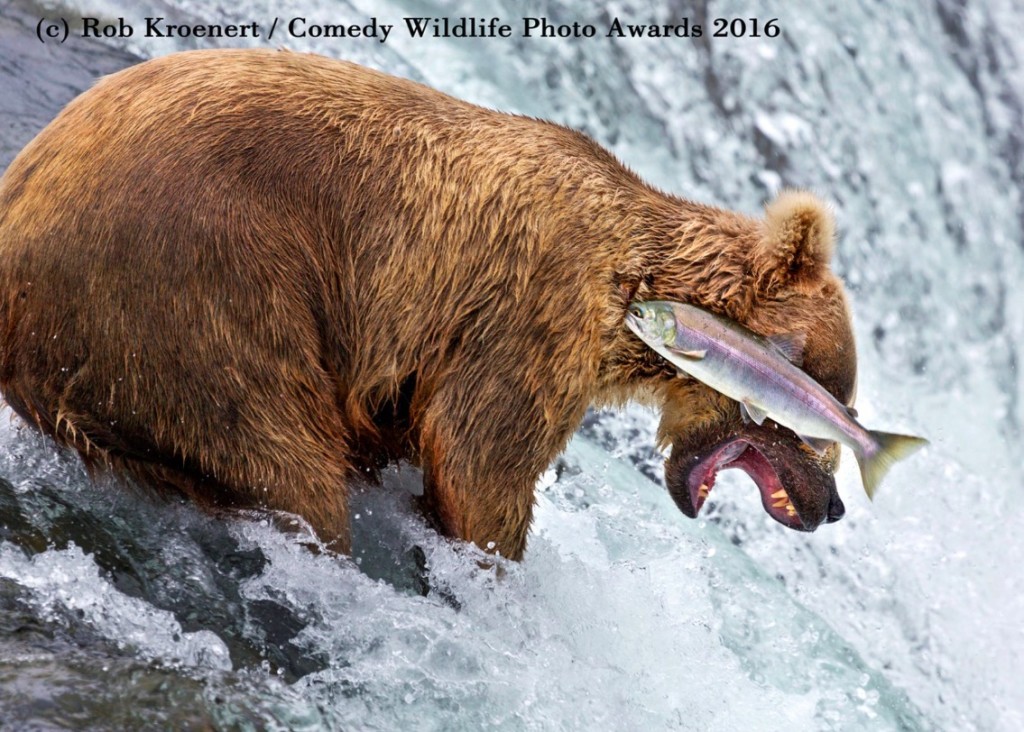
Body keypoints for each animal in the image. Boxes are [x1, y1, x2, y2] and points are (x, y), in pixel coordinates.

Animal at [0, 48, 851, 556]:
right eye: (827, 403)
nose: (833, 504)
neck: (637, 287)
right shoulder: (533, 310)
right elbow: (480, 456)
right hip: (200, 283)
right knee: (282, 454)